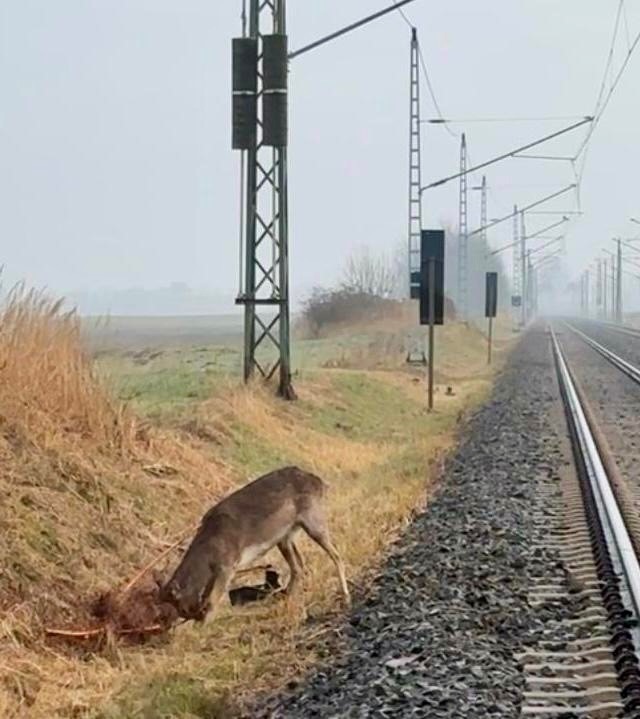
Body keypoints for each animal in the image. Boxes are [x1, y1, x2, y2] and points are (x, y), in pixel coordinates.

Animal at [160, 464, 350, 620]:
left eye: (180, 608)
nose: (192, 614)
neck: (208, 553)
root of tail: (320, 483)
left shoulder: (228, 565)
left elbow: (213, 601)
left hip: (314, 520)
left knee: (336, 555)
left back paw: (345, 596)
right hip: (286, 535)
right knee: (298, 566)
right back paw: (285, 597)